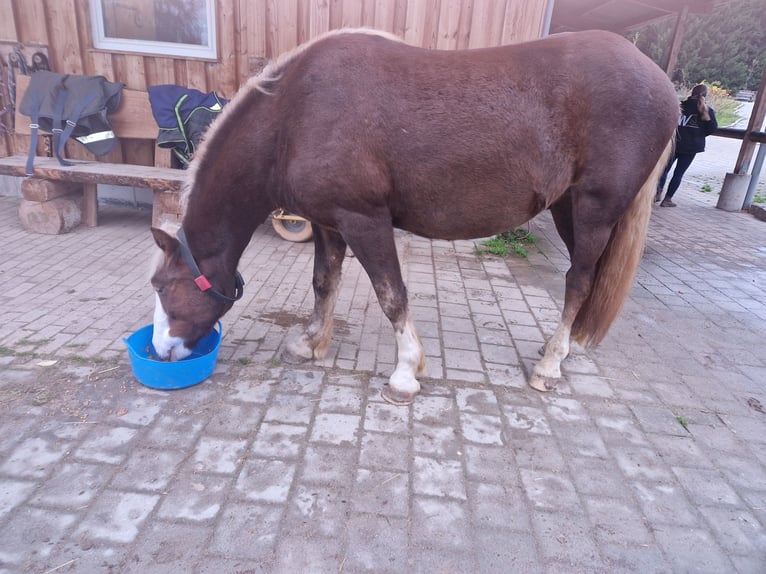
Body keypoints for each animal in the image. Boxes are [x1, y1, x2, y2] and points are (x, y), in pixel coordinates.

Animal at [149, 28, 679, 405]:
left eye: (162, 287)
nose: (160, 351)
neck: (295, 114)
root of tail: (661, 82)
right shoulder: (328, 223)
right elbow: (324, 283)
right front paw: (311, 344)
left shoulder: (363, 219)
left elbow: (392, 297)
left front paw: (405, 374)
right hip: (569, 208)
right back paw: (559, 350)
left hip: (594, 210)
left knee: (579, 282)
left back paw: (549, 367)